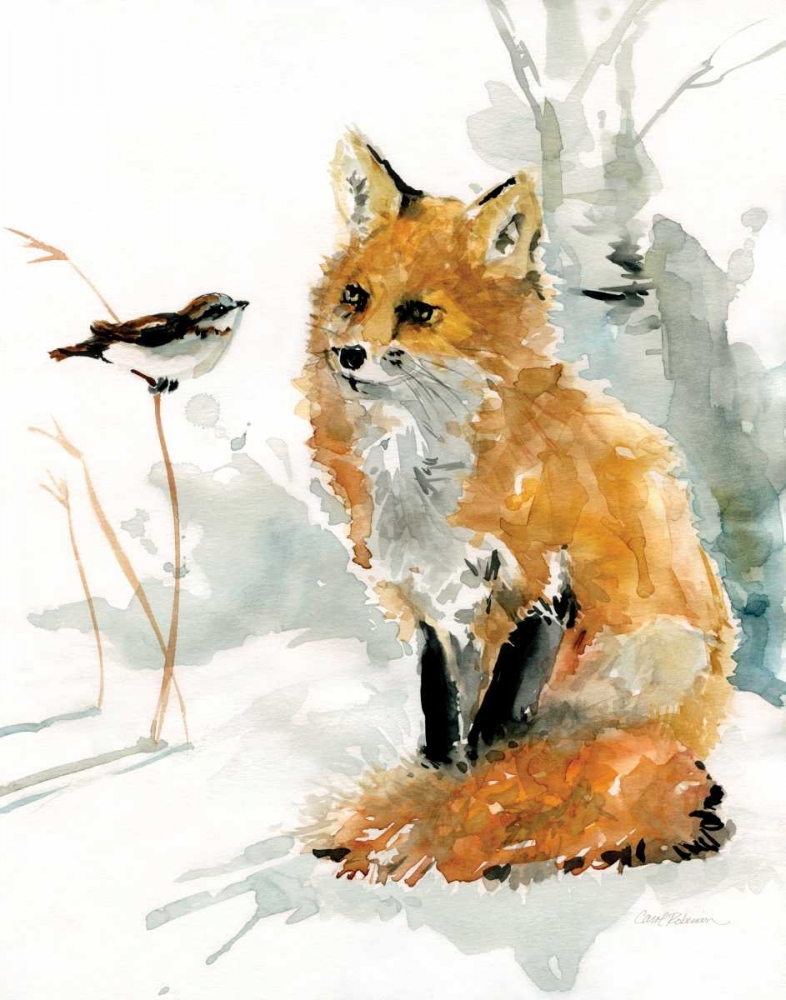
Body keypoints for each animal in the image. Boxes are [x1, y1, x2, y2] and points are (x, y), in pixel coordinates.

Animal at [298, 130, 737, 886]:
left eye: (420, 312)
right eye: (355, 296)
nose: (349, 354)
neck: (423, 468)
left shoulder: (543, 588)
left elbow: (497, 731)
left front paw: (470, 807)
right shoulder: (436, 610)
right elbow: (444, 729)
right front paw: (442, 789)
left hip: (648, 656)